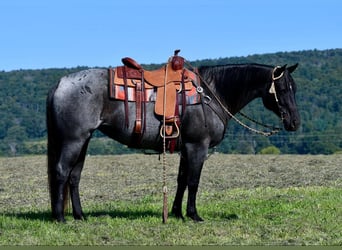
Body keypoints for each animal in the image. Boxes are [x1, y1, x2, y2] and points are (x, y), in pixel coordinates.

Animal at [46, 61, 300, 222]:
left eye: (294, 88)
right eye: (282, 88)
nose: (295, 122)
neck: (211, 93)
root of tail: (60, 83)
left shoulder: (185, 148)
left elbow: (181, 180)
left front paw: (177, 212)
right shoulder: (198, 146)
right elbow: (194, 181)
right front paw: (194, 214)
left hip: (84, 140)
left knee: (74, 176)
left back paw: (80, 216)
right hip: (73, 140)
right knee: (61, 172)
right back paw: (60, 218)